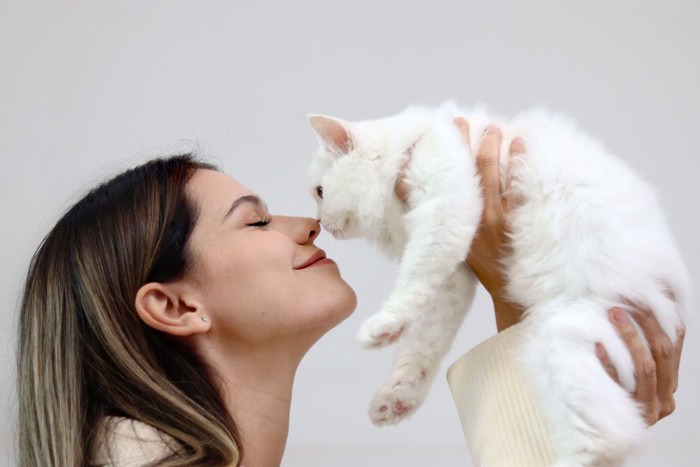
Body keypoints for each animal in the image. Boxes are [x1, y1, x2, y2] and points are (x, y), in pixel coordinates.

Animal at [306, 103, 688, 467]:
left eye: (320, 191)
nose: (319, 224)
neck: (407, 145)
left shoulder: (445, 209)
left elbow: (413, 282)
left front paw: (383, 327)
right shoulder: (454, 276)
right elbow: (423, 345)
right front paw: (398, 395)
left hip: (560, 337)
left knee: (608, 440)